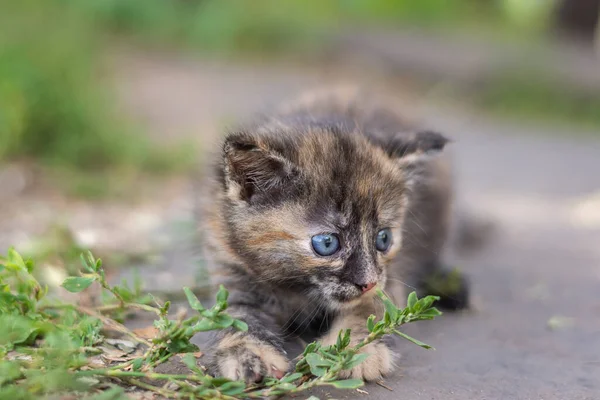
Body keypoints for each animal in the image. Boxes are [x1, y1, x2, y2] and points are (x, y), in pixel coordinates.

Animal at [197, 86, 468, 382]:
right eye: (327, 243)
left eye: (383, 239)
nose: (368, 282)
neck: (297, 289)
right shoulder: (231, 268)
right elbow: (236, 316)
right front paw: (247, 353)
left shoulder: (387, 281)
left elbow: (368, 310)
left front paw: (354, 350)